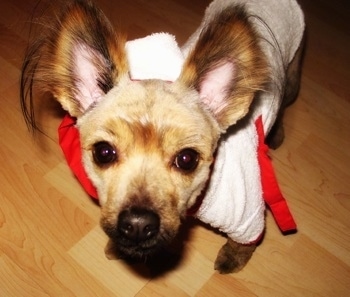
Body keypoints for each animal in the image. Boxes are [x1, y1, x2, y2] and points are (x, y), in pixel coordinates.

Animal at [19, 0, 304, 272]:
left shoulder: (246, 214)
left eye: (187, 159)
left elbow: (244, 243)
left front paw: (232, 259)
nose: (137, 224)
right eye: (103, 152)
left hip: (291, 77)